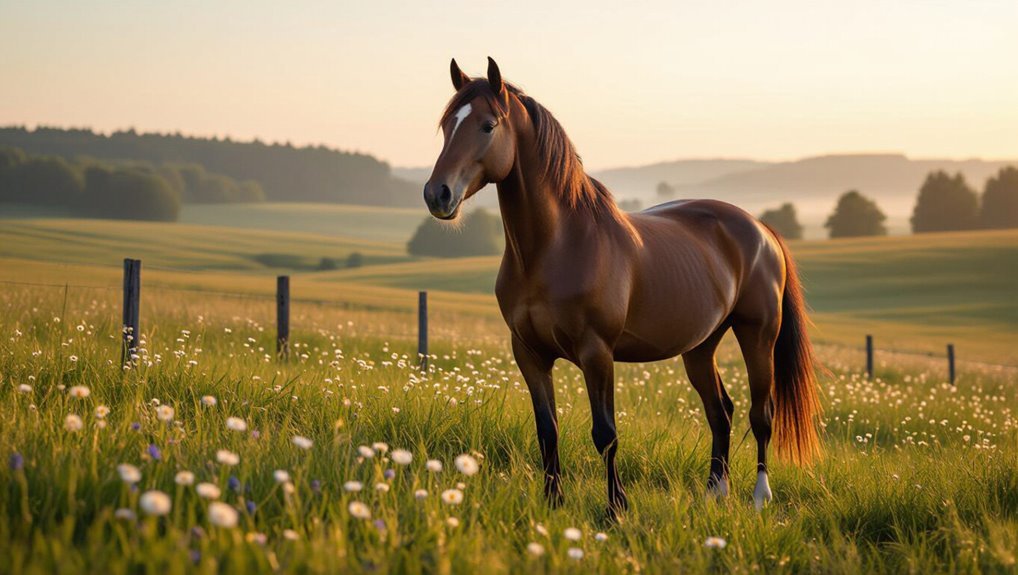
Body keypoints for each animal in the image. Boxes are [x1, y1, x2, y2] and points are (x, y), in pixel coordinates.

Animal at [423, 57, 823, 515]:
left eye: (488, 125)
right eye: (446, 126)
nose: (438, 194)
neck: (556, 247)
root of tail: (761, 229)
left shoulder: (597, 353)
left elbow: (605, 434)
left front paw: (616, 509)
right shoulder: (529, 353)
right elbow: (547, 430)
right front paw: (553, 503)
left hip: (758, 335)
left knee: (762, 414)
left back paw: (759, 497)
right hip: (700, 346)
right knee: (720, 412)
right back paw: (713, 493)